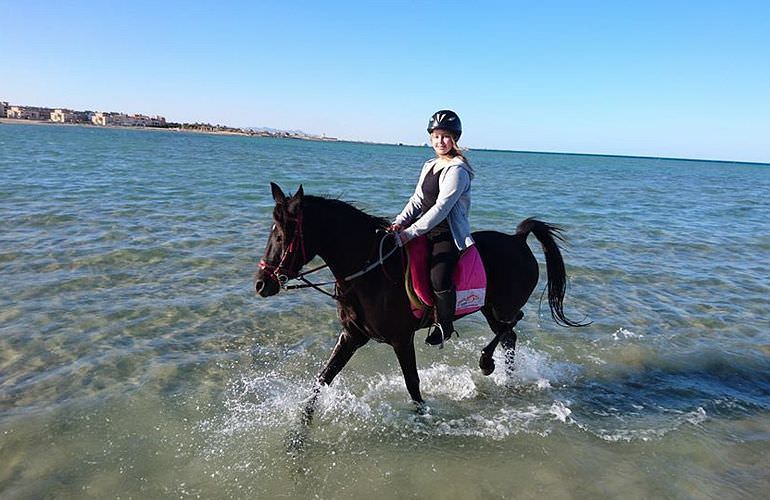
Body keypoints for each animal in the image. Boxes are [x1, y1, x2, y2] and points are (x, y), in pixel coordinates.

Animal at [254, 184, 584, 406]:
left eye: (281, 236)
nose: (261, 283)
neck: (370, 270)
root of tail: (518, 240)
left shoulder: (401, 338)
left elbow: (412, 385)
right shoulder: (352, 336)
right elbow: (322, 379)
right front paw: (298, 435)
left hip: (501, 307)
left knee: (512, 325)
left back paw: (486, 363)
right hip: (489, 309)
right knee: (509, 336)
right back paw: (506, 376)